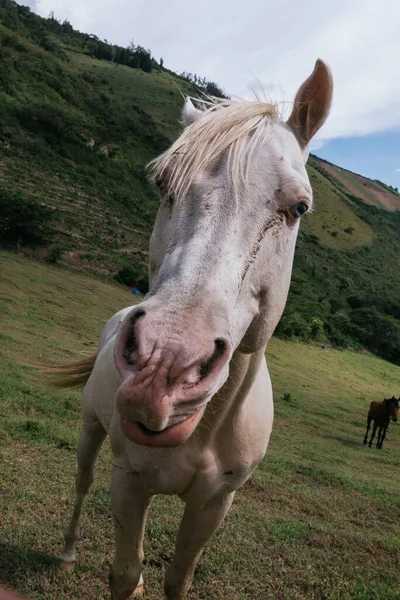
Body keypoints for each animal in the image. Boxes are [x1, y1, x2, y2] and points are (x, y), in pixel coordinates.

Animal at [48, 58, 332, 596]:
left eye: (299, 207)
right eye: (163, 186)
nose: (164, 365)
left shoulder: (214, 504)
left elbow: (177, 578)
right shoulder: (128, 479)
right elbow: (123, 571)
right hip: (91, 431)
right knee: (80, 482)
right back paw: (69, 551)